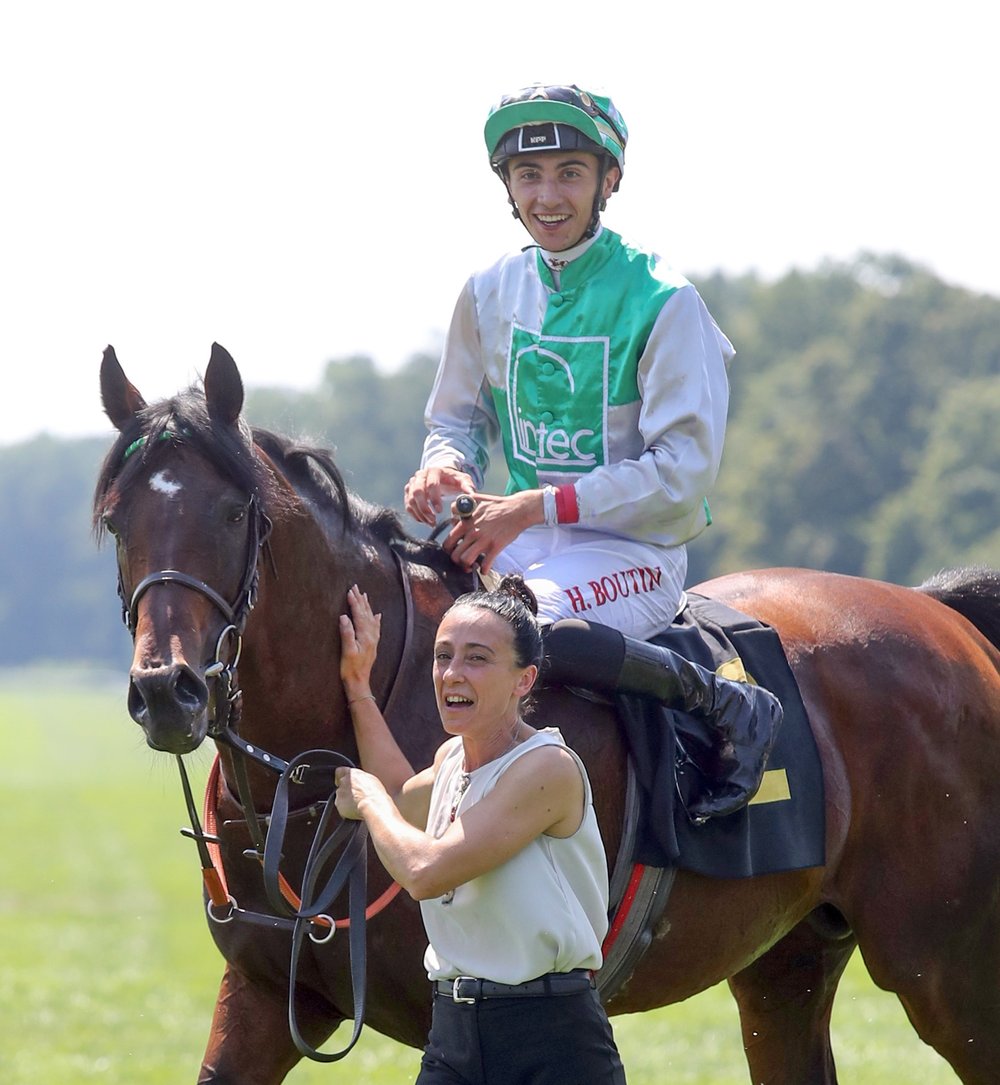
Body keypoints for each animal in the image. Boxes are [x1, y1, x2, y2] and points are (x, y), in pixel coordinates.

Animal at [95, 345, 997, 1085]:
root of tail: (938, 612)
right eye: (117, 519)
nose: (168, 688)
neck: (312, 776)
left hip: (946, 969)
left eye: (230, 512)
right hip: (788, 964)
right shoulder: (264, 994)